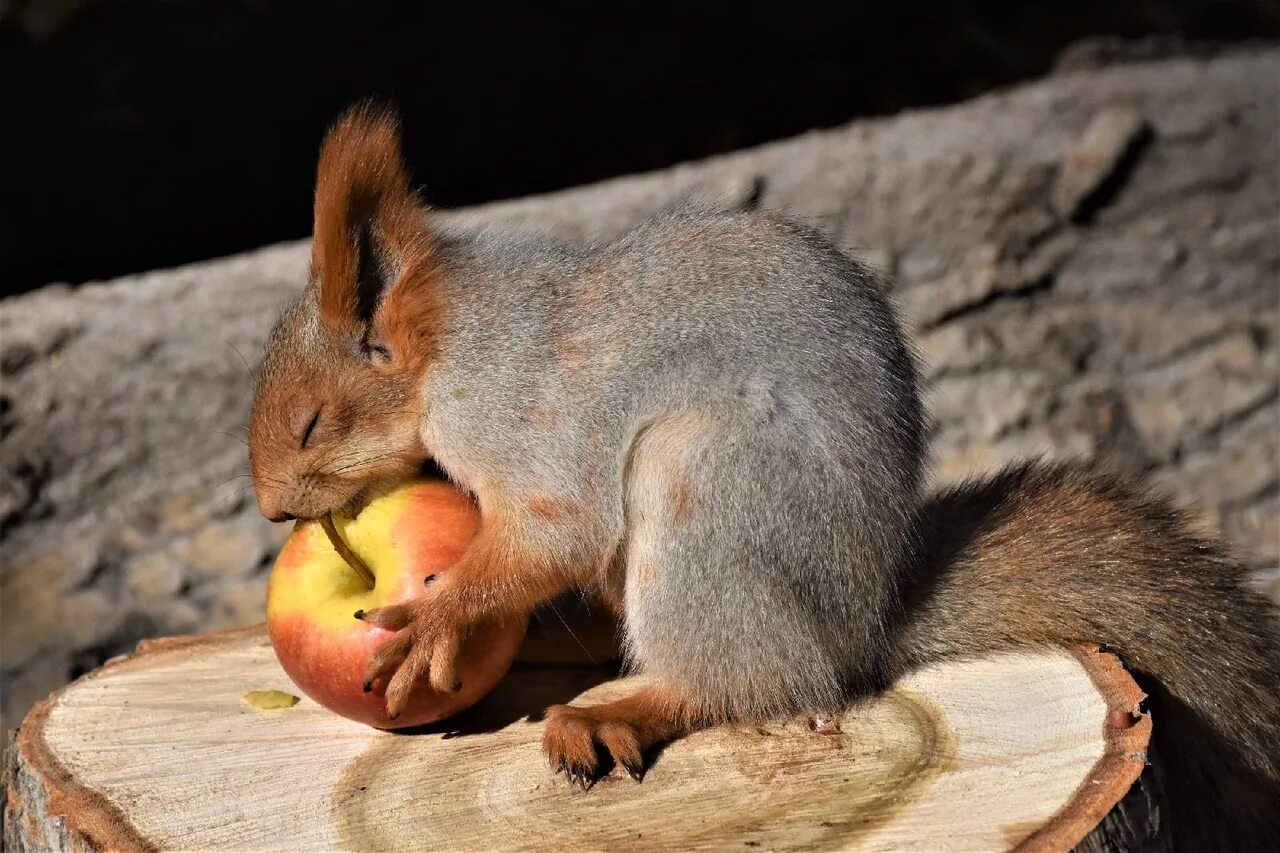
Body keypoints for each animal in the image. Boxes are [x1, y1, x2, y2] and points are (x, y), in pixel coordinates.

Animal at [249, 104, 1280, 845]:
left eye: (310, 422)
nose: (268, 508)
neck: (454, 347)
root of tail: (860, 623)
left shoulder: (523, 419)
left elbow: (556, 530)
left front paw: (438, 617)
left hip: (704, 488)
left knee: (758, 683)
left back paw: (625, 708)